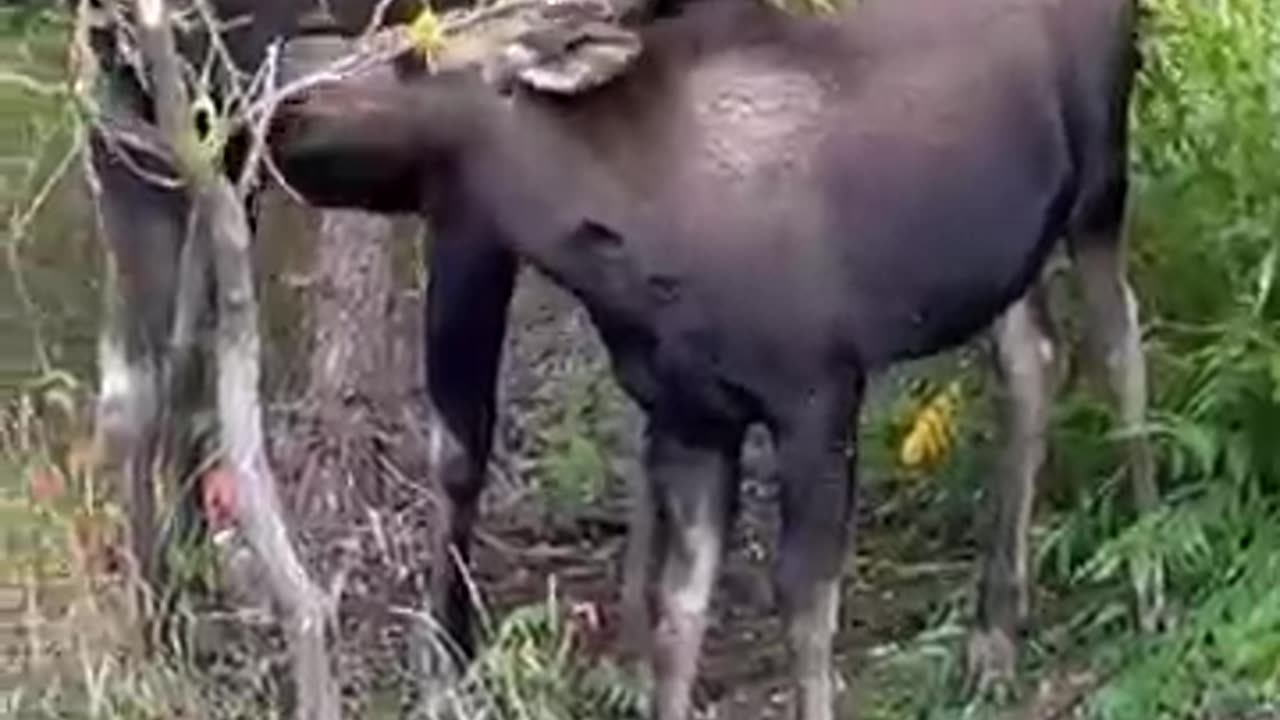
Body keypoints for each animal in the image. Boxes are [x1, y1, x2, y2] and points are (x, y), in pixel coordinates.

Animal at [270, 0, 1162, 712]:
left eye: (416, 55)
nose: (286, 110)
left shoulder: (819, 394)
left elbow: (805, 608)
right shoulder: (692, 418)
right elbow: (678, 615)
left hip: (1099, 186)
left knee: (1123, 347)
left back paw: (1148, 582)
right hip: (1005, 256)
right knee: (1034, 360)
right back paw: (994, 637)